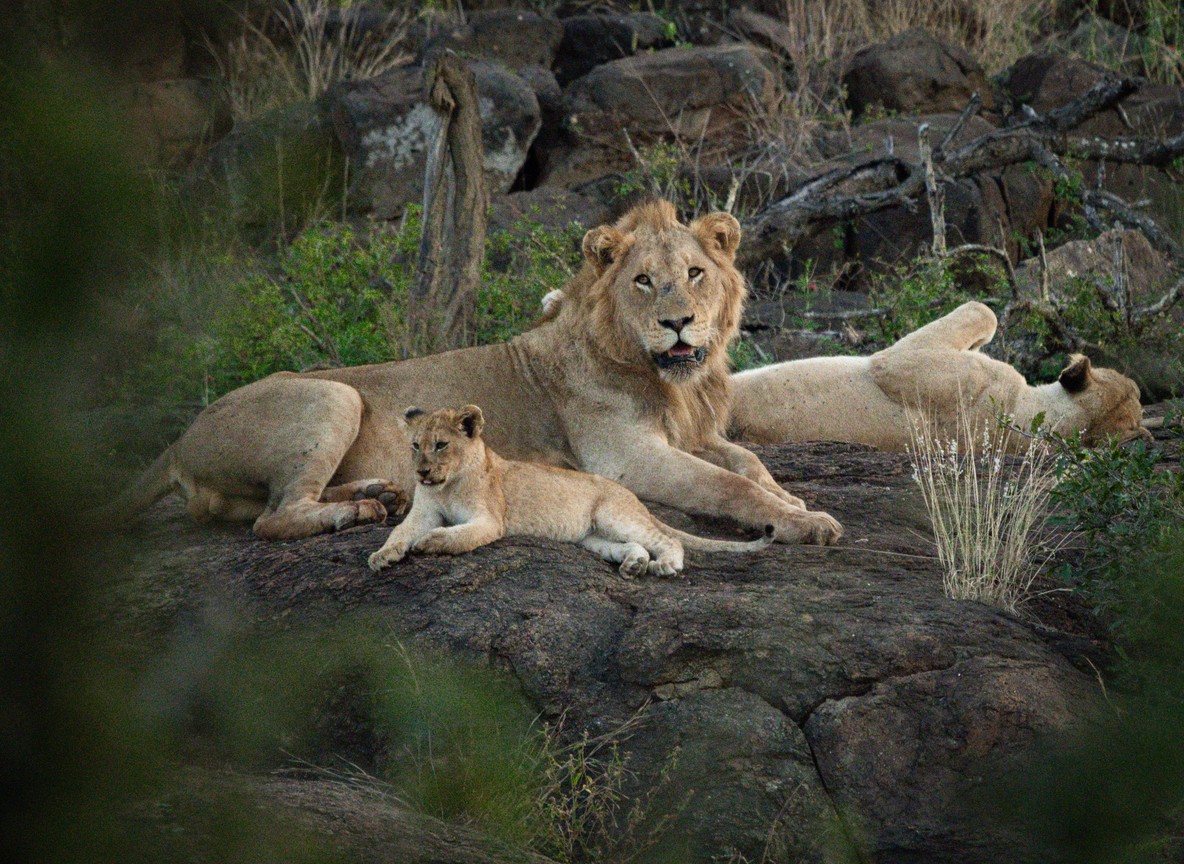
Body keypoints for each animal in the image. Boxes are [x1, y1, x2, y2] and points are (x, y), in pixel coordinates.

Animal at [95, 200, 841, 545]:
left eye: (694, 274)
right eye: (642, 282)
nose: (679, 322)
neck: (667, 380)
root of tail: (180, 438)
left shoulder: (696, 434)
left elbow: (747, 463)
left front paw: (794, 500)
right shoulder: (626, 458)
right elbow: (726, 485)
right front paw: (803, 523)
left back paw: (379, 493)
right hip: (331, 395)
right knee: (275, 518)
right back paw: (360, 510)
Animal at [367, 405, 774, 576]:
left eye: (440, 445)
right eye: (415, 446)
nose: (421, 473)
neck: (446, 485)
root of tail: (631, 496)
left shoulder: (490, 520)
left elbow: (459, 535)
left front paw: (432, 542)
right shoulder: (423, 511)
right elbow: (399, 530)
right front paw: (383, 555)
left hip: (612, 514)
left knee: (668, 539)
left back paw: (665, 566)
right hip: (592, 537)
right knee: (633, 545)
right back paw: (634, 564)